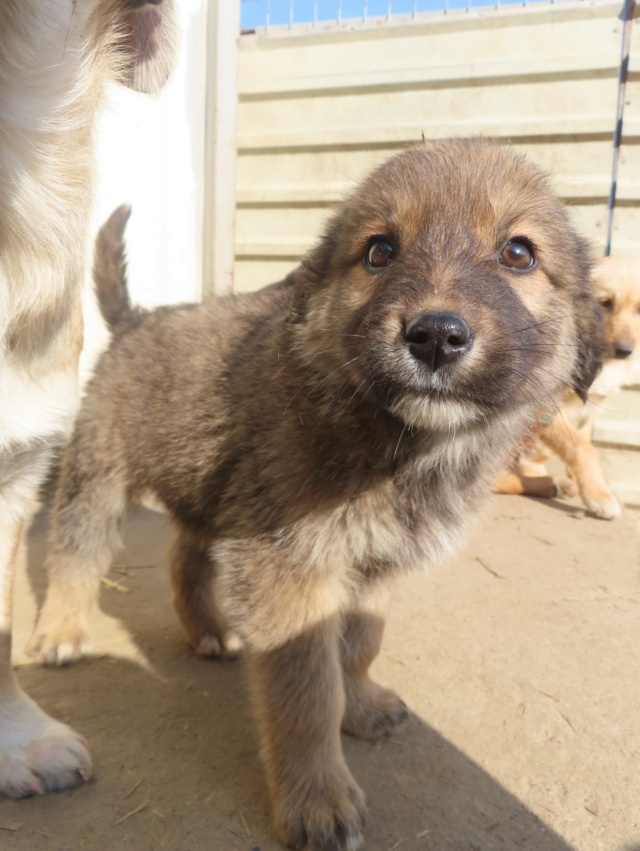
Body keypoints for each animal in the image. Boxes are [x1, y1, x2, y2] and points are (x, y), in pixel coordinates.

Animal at [27, 141, 604, 851]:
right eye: (379, 251)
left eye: (519, 253)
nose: (435, 336)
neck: (401, 443)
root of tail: (136, 320)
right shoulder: (290, 569)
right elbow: (307, 692)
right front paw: (318, 797)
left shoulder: (371, 565)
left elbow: (356, 647)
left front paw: (361, 704)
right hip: (99, 476)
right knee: (75, 552)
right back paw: (62, 631)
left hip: (214, 491)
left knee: (183, 556)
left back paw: (207, 629)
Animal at [496, 253, 640, 520]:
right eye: (605, 304)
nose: (625, 352)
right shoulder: (544, 407)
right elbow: (583, 448)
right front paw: (599, 496)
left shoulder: (587, 411)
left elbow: (584, 439)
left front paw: (589, 484)